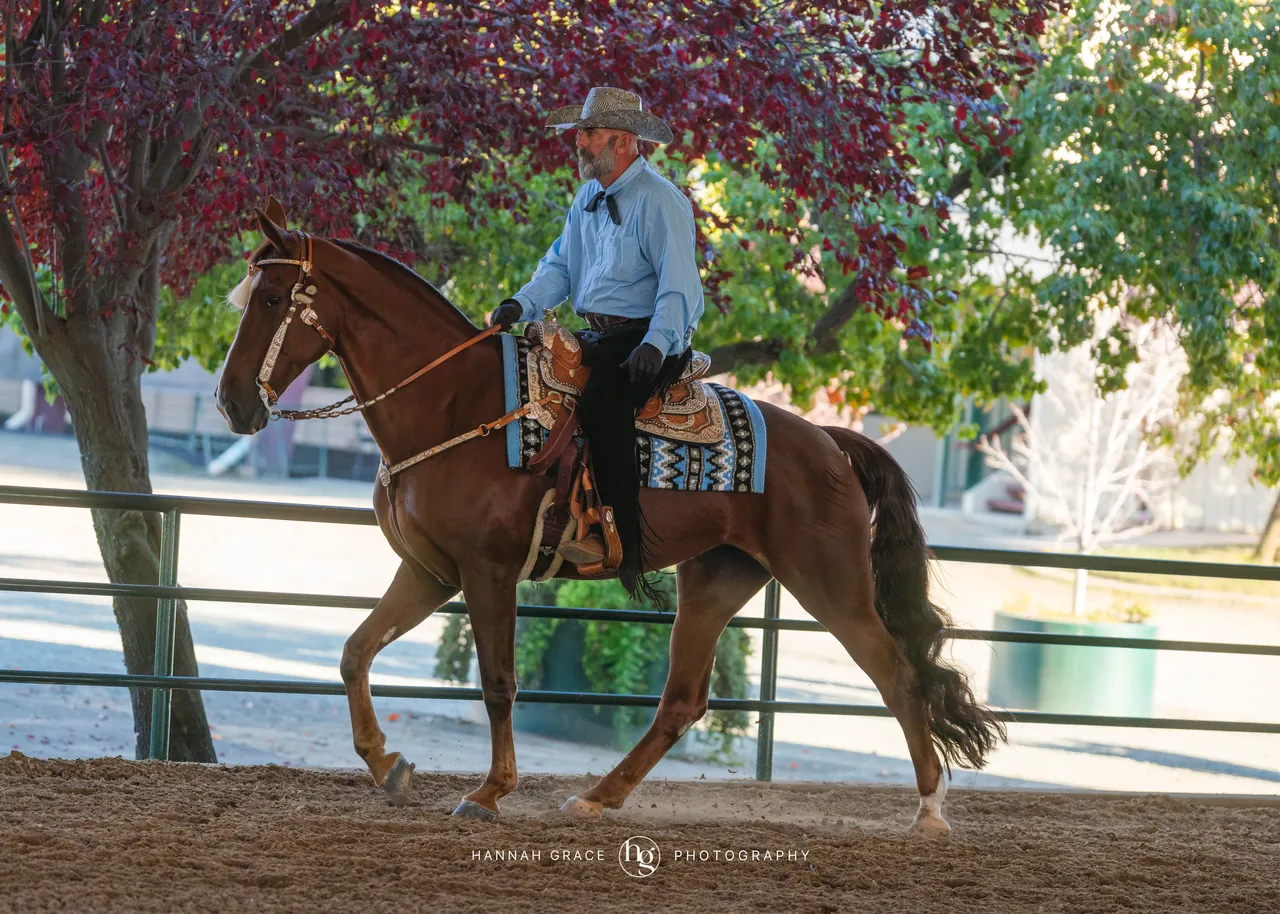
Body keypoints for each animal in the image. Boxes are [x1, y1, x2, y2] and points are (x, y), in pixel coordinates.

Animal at [214, 200, 1004, 835]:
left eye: (273, 296)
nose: (231, 402)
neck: (456, 404)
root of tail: (828, 441)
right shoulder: (431, 571)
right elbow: (355, 652)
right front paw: (389, 766)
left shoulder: (488, 571)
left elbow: (498, 683)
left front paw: (489, 793)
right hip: (717, 578)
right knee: (681, 701)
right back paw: (597, 796)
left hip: (830, 582)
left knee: (898, 677)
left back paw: (930, 811)